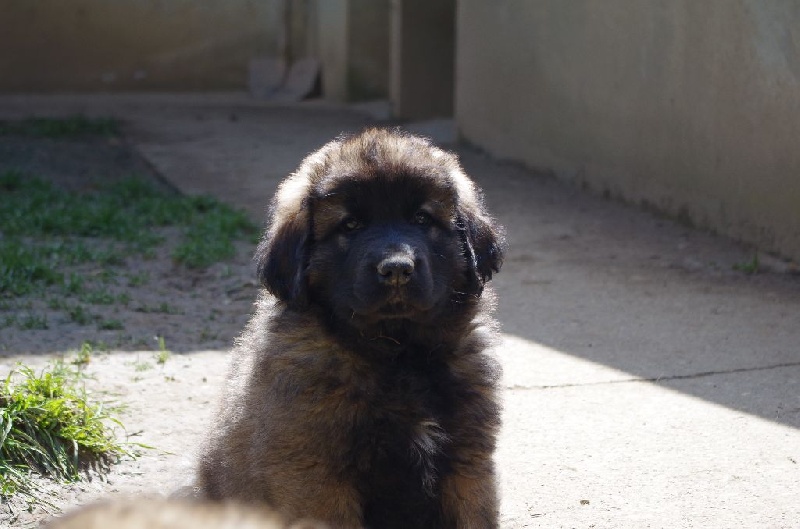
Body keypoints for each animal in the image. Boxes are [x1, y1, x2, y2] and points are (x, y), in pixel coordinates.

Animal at [196, 128, 504, 528]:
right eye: (351, 225)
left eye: (422, 219)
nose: (397, 269)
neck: (397, 353)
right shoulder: (317, 476)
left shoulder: (468, 462)